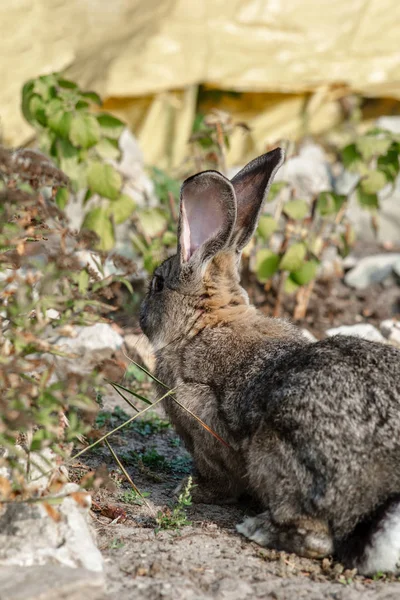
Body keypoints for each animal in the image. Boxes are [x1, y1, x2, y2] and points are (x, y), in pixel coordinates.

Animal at [140, 148, 400, 576]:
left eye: (158, 284)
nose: (141, 316)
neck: (205, 322)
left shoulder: (200, 418)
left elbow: (218, 478)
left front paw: (189, 490)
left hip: (272, 452)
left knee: (317, 539)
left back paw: (258, 529)